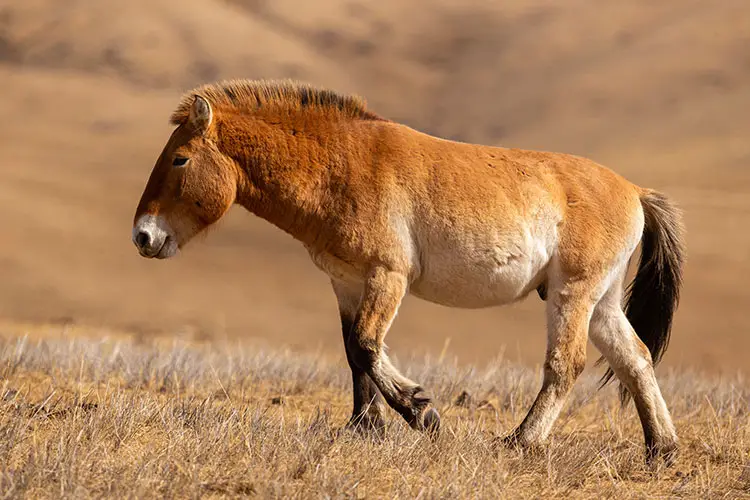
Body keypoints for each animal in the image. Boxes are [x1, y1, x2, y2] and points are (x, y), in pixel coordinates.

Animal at [131, 79, 688, 464]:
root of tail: (635, 191)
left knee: (565, 365)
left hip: (571, 294)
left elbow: (367, 346)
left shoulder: (387, 276)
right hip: (601, 303)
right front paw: (364, 428)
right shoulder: (346, 283)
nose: (143, 236)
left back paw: (519, 441)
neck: (341, 165)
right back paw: (661, 449)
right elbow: (353, 352)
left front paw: (421, 414)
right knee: (635, 359)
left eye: (180, 158)